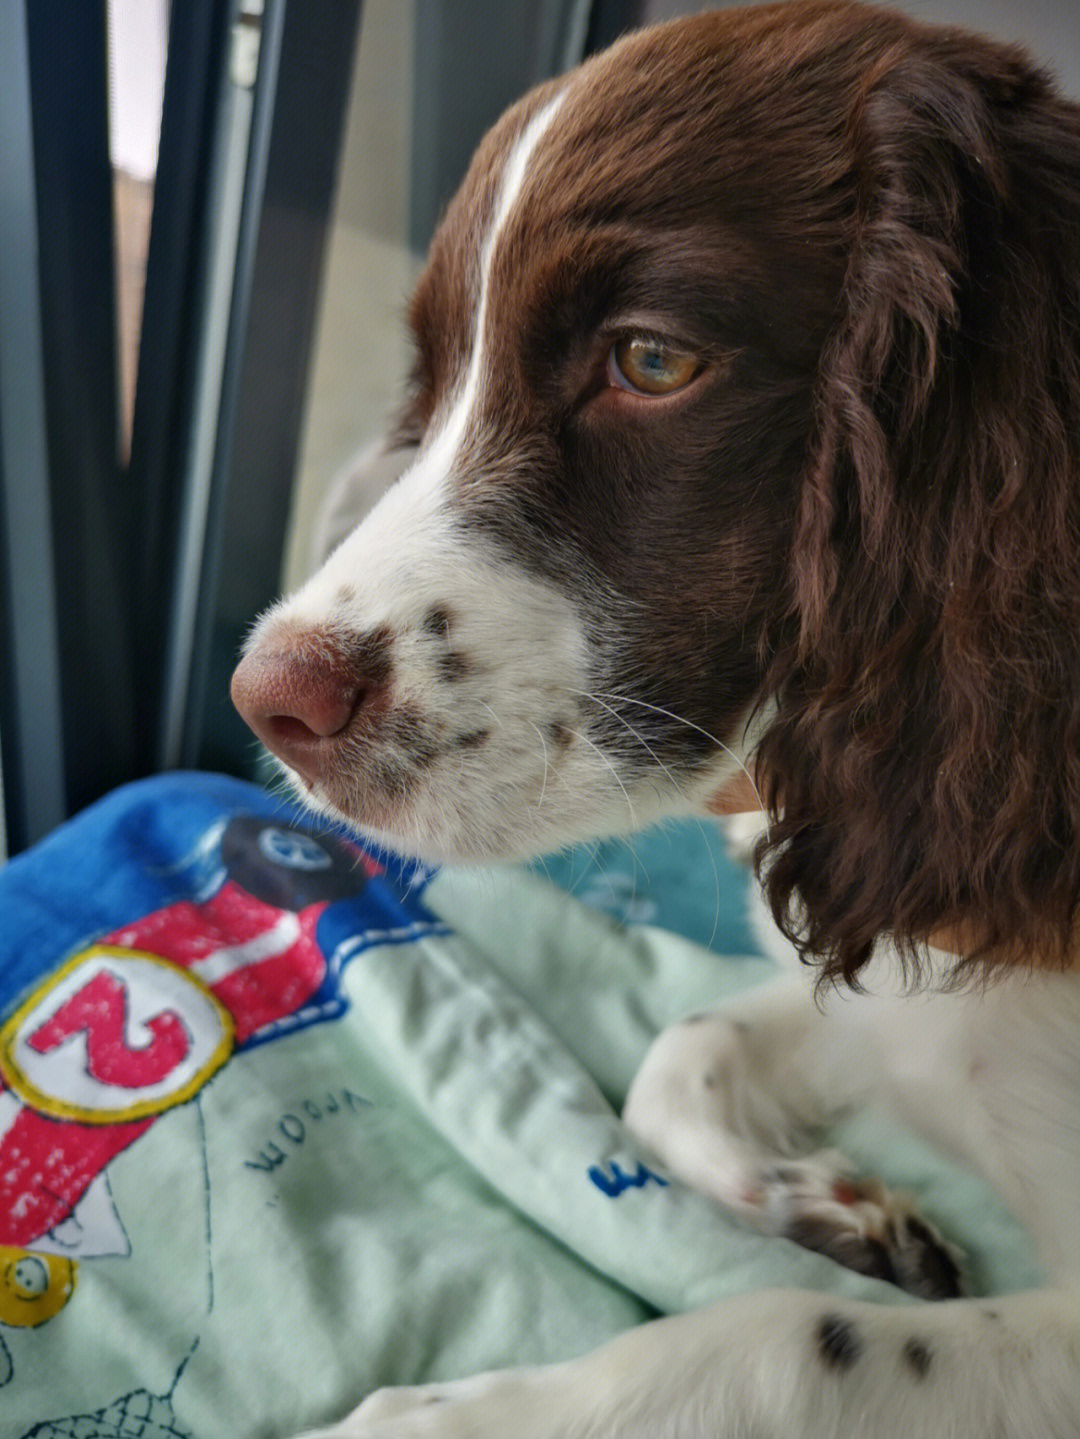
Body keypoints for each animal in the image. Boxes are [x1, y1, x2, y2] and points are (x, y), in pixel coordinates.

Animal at [230, 5, 1080, 1433]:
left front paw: (445, 1416)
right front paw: (832, 1202)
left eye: (653, 359)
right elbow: (681, 1049)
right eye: (436, 379)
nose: (268, 698)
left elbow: (783, 1339)